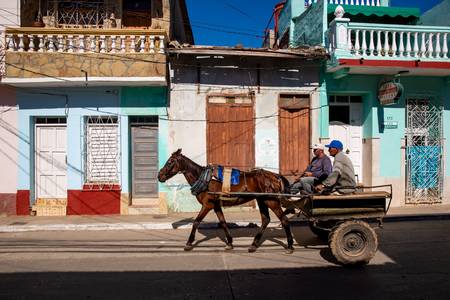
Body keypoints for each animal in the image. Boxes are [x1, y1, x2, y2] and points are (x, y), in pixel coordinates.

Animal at [156, 148, 294, 253]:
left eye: (170, 162)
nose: (159, 175)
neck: (204, 179)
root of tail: (275, 176)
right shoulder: (216, 205)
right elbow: (223, 222)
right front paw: (229, 243)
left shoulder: (207, 204)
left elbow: (196, 222)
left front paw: (189, 243)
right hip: (262, 200)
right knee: (266, 220)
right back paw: (253, 245)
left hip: (271, 201)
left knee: (284, 220)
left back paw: (290, 246)